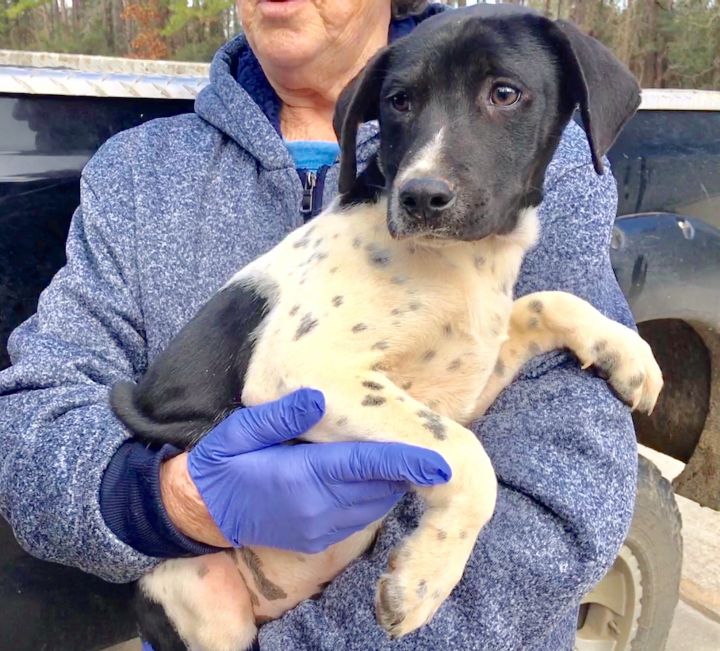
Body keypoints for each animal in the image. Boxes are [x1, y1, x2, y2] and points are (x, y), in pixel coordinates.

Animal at [111, 6, 660, 651]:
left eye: (505, 93)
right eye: (399, 101)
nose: (421, 196)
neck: (459, 263)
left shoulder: (465, 383)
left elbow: (546, 302)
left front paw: (628, 353)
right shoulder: (300, 373)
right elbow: (469, 459)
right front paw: (423, 579)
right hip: (203, 598)